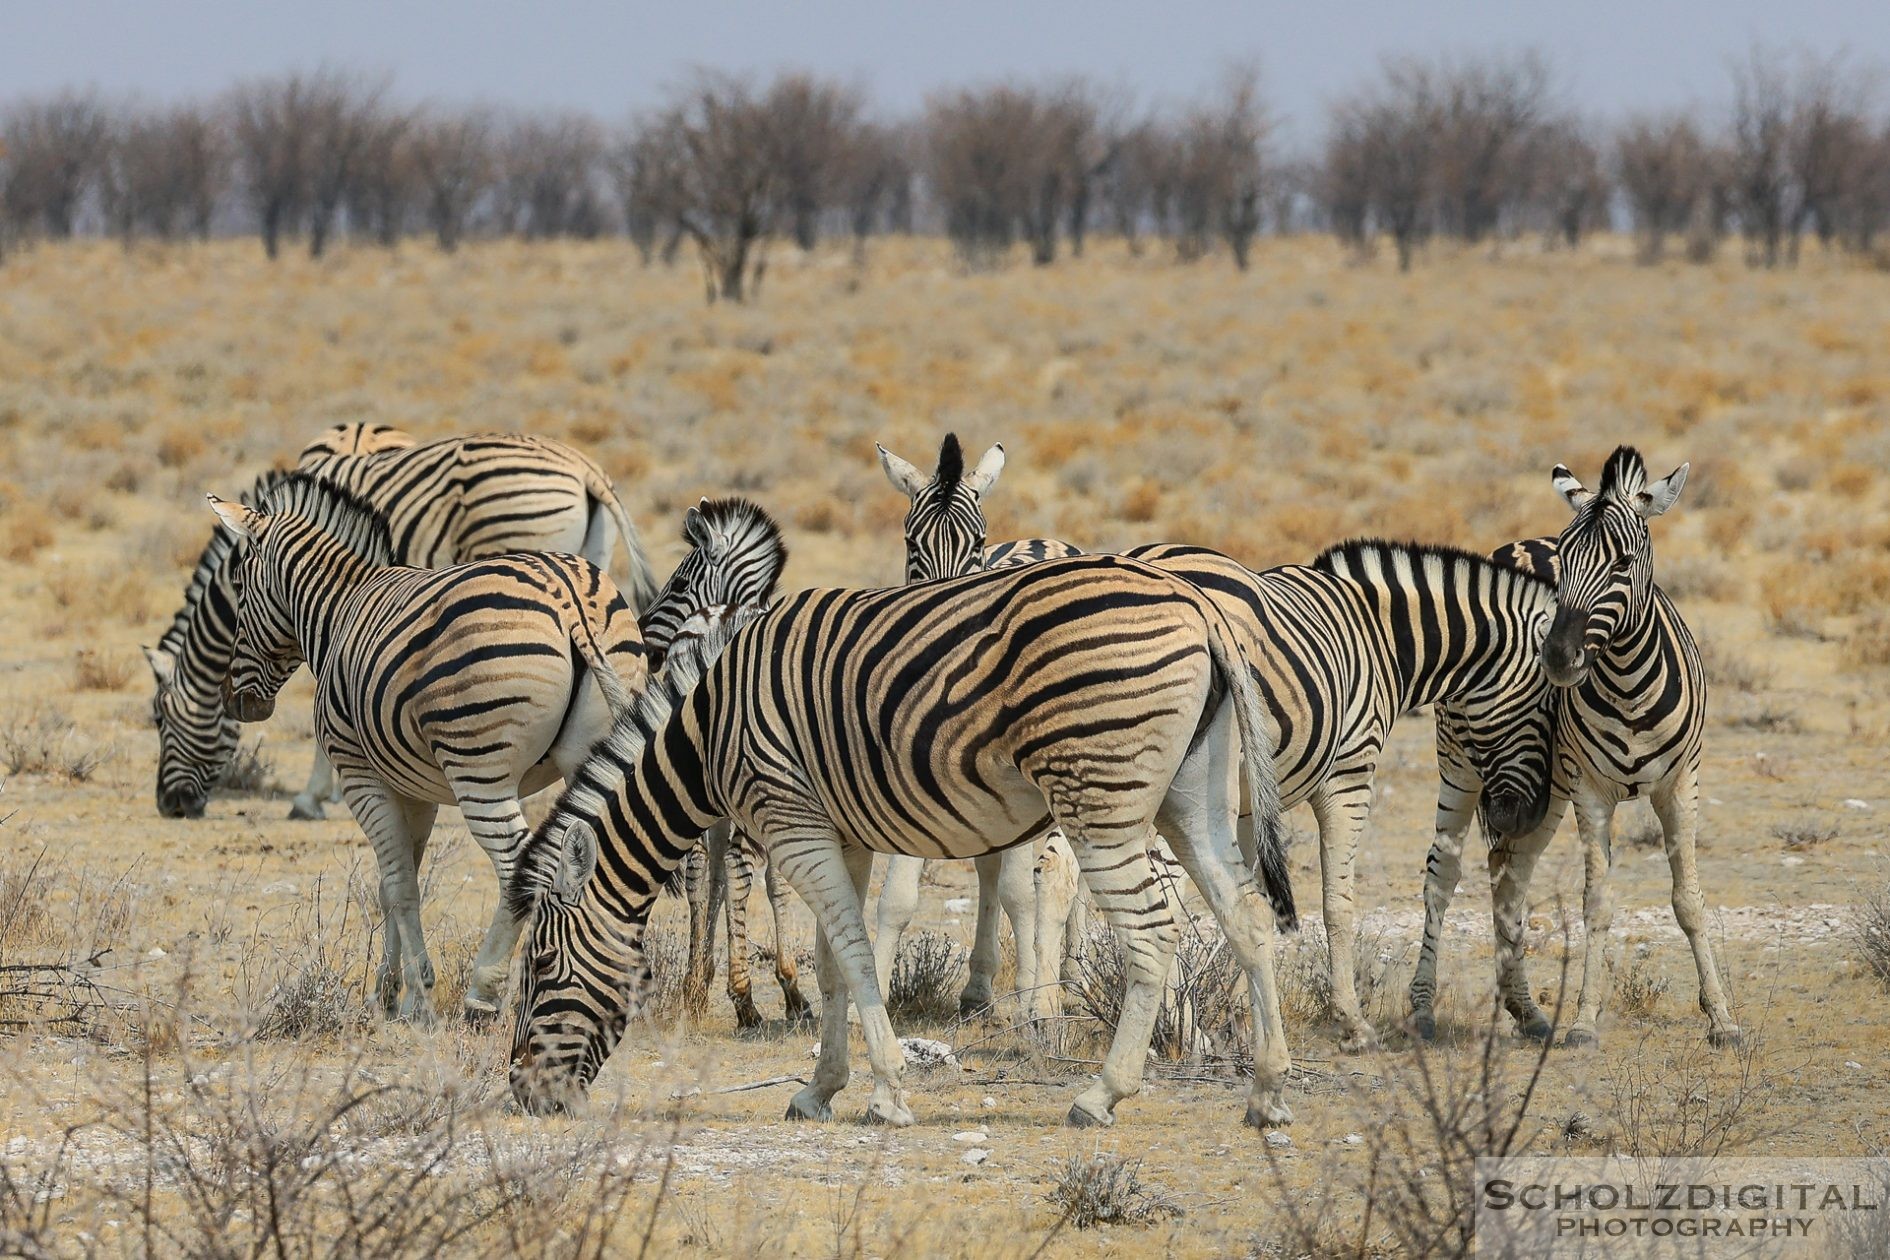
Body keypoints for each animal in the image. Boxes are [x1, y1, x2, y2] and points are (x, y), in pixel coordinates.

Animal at [206, 472, 650, 1027]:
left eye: (240, 587)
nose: (236, 702)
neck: (339, 610)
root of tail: (568, 599)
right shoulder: (413, 788)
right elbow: (395, 884)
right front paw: (387, 989)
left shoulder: (359, 775)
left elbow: (399, 886)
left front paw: (417, 995)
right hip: (587, 754)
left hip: (480, 771)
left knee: (520, 867)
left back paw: (486, 992)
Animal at [502, 555, 1300, 1125]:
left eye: (539, 967)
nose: (523, 1096)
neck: (706, 735)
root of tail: (1192, 598)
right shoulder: (839, 834)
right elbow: (831, 963)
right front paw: (820, 1089)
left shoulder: (791, 823)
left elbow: (854, 954)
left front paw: (885, 1092)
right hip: (1192, 798)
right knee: (1248, 916)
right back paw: (1266, 1092)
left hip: (1098, 797)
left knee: (1153, 935)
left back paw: (1101, 1096)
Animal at [876, 438, 1557, 1050]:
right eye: (1549, 706)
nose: (1516, 817)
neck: (1375, 633)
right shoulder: (1349, 772)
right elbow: (1336, 899)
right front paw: (1350, 1022)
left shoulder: (1252, 798)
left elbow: (1242, 892)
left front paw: (1244, 1002)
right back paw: (1138, 1024)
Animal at [1406, 447, 1738, 1050]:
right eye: (1565, 563)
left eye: (1624, 563)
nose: (1557, 658)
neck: (1630, 684)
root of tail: (1511, 545)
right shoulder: (1592, 791)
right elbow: (1597, 905)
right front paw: (1584, 1021)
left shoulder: (1681, 784)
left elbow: (1688, 900)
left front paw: (1722, 1018)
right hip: (1462, 766)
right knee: (1442, 875)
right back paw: (1424, 1009)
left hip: (1538, 791)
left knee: (1508, 871)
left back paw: (1526, 1011)